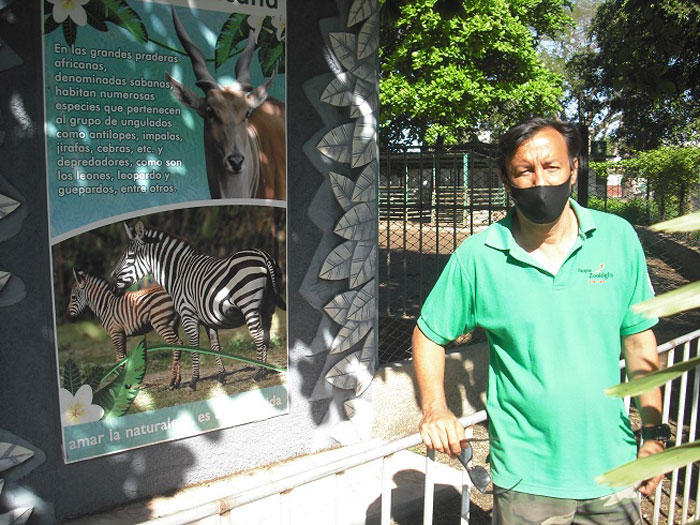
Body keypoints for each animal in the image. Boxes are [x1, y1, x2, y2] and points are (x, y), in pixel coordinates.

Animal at [108, 220, 286, 388]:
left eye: (130, 257)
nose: (111, 285)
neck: (178, 274)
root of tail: (262, 255)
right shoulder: (209, 319)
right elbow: (215, 346)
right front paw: (221, 376)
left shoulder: (188, 315)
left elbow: (194, 346)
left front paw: (193, 382)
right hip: (267, 307)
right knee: (266, 335)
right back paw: (263, 370)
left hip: (249, 306)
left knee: (258, 335)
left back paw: (258, 373)